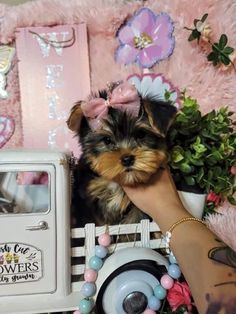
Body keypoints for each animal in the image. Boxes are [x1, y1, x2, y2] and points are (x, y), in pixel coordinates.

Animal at [67, 82, 176, 227]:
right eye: (107, 140)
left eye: (141, 134)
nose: (127, 159)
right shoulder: (88, 198)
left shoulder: (138, 208)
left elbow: (135, 221)